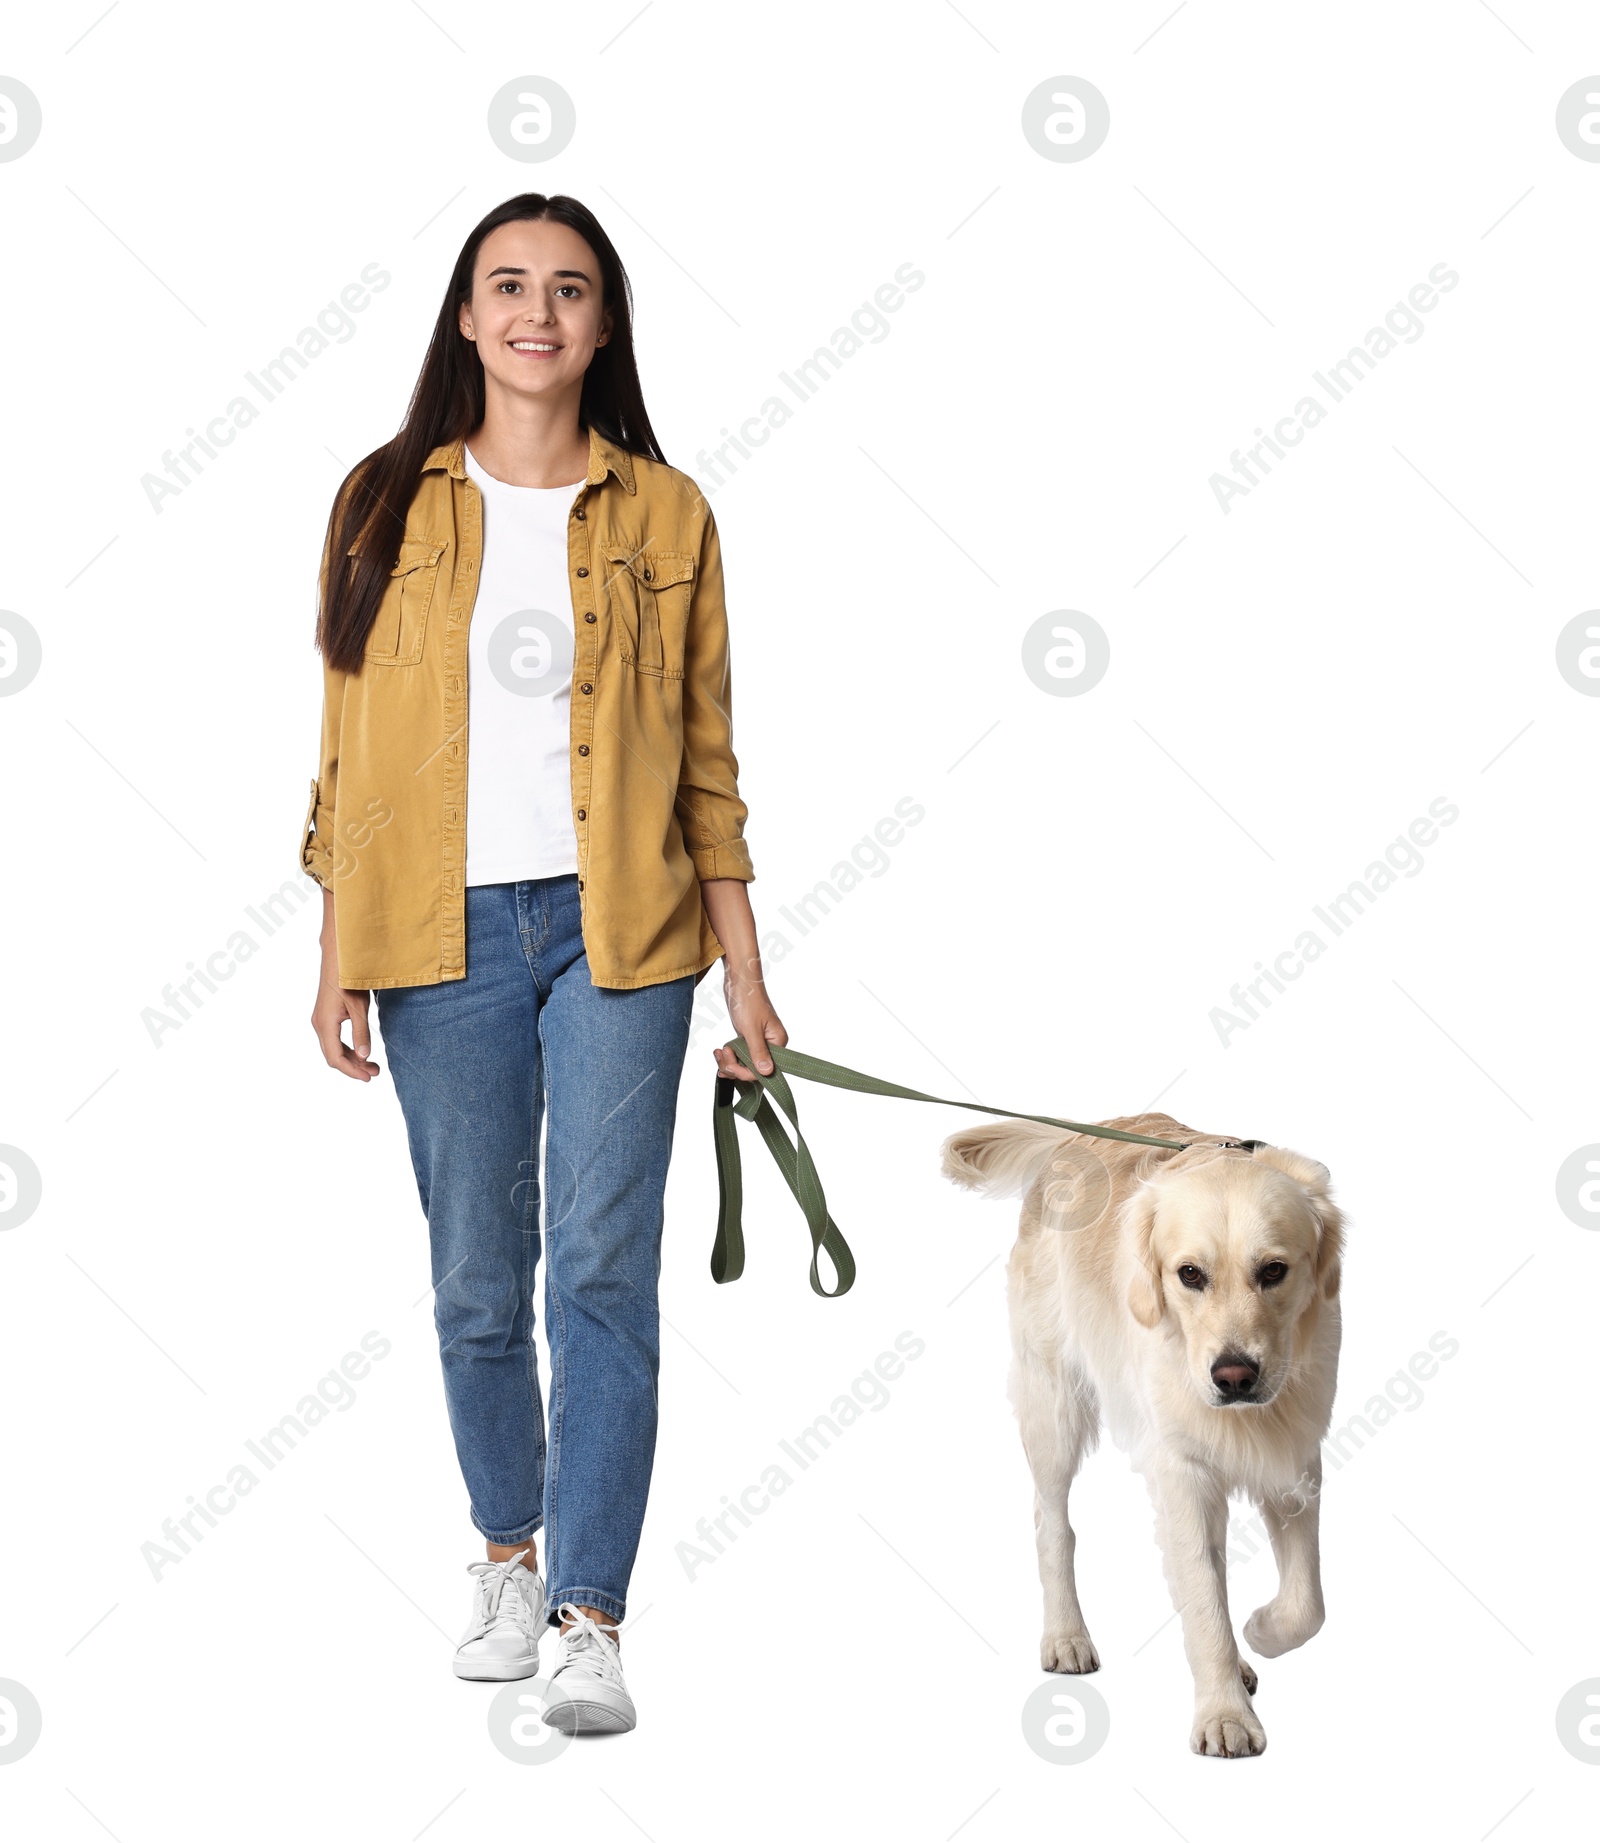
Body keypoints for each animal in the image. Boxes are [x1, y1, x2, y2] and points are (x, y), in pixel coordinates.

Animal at [943, 1105, 1341, 1754]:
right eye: (1190, 1274)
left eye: (1275, 1270)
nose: (1234, 1377)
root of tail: (1076, 1136)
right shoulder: (1181, 1467)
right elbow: (1204, 1600)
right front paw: (1225, 1715)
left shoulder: (1296, 1453)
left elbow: (1307, 1604)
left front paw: (1261, 1631)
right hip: (1053, 1407)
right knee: (1052, 1526)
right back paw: (1067, 1637)